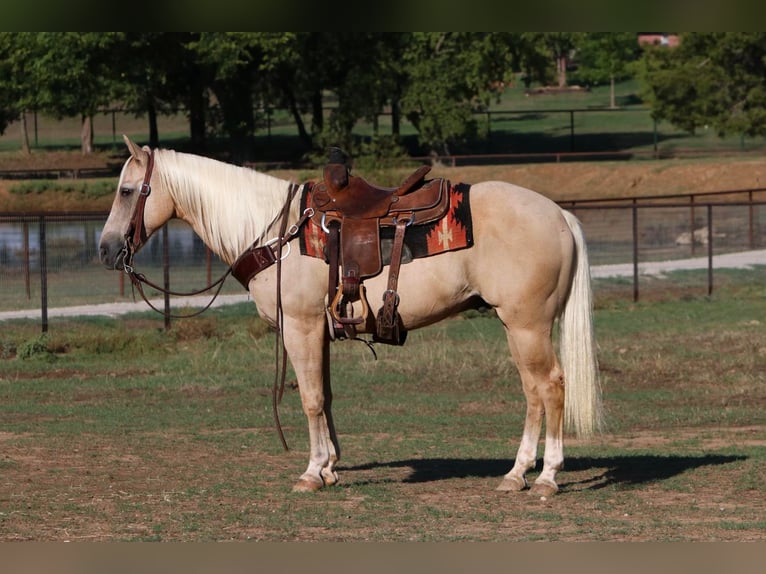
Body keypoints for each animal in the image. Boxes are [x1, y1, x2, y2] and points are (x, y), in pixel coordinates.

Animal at [99, 136, 604, 500]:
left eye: (127, 191)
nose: (105, 250)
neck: (274, 232)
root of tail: (558, 214)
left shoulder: (300, 327)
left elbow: (309, 399)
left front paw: (310, 473)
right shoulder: (317, 332)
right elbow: (325, 397)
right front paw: (329, 467)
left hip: (527, 326)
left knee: (551, 387)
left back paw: (547, 478)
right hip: (516, 327)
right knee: (533, 393)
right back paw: (516, 474)